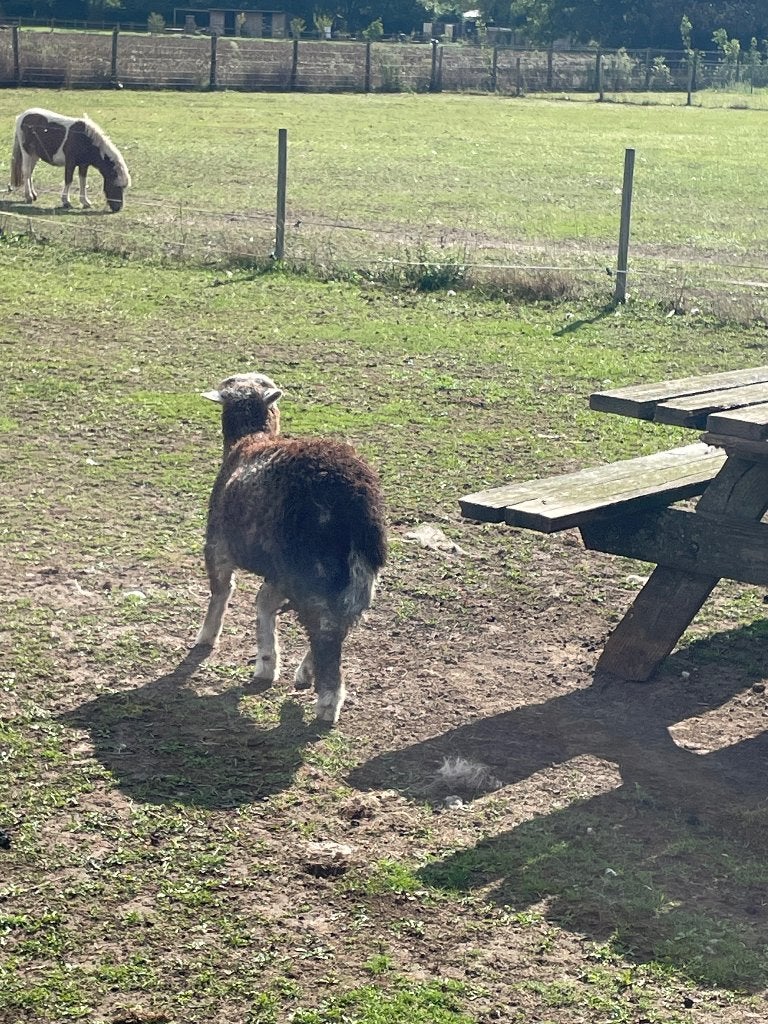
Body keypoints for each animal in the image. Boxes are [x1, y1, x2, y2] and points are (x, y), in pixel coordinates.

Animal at [195, 372, 387, 725]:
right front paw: (267, 662)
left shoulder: (218, 544)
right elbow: (263, 603)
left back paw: (328, 702)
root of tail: (352, 495)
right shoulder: (278, 572)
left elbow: (222, 592)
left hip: (310, 569)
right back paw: (308, 672)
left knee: (326, 631)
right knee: (342, 621)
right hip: (359, 570)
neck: (249, 439)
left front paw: (208, 637)